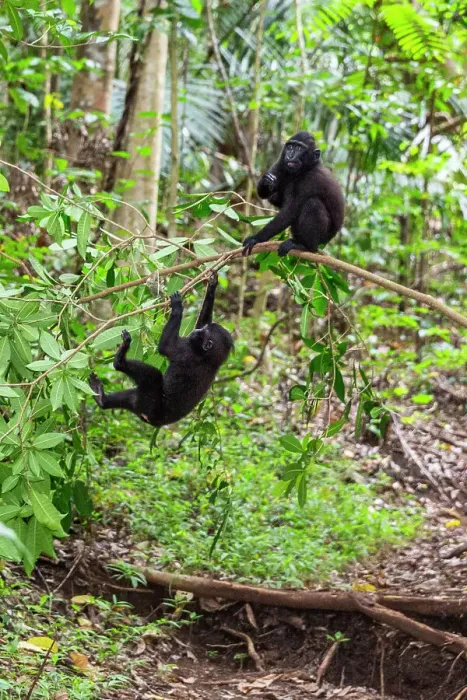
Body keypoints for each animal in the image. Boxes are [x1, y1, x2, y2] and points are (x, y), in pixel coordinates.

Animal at [88, 272, 233, 427]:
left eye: (203, 332)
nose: (196, 331)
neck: (208, 358)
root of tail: (152, 420)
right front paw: (212, 285)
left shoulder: (185, 351)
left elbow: (165, 346)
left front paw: (177, 307)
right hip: (139, 402)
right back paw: (102, 399)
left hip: (150, 402)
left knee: (154, 376)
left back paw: (120, 360)